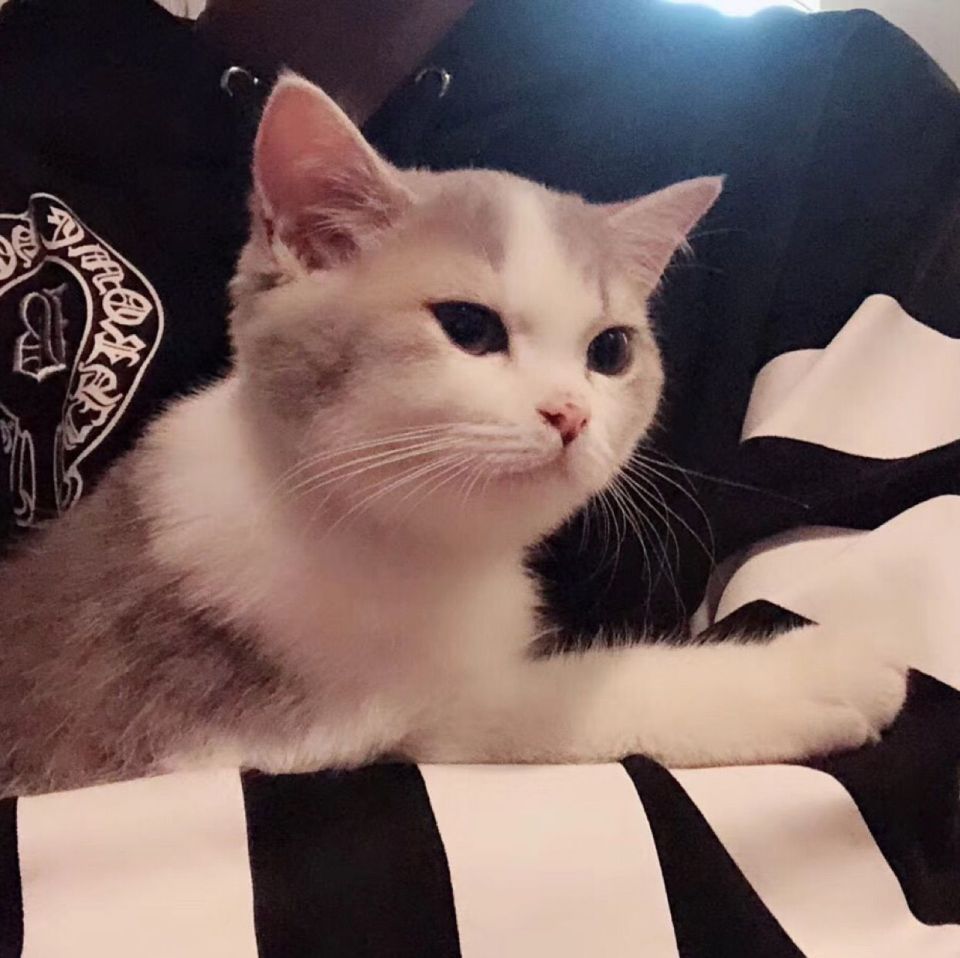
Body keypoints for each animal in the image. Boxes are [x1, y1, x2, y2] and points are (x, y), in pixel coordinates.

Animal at [0, 73, 909, 798]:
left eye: (610, 352)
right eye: (469, 328)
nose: (570, 413)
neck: (400, 548)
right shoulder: (244, 731)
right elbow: (543, 708)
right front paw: (803, 673)